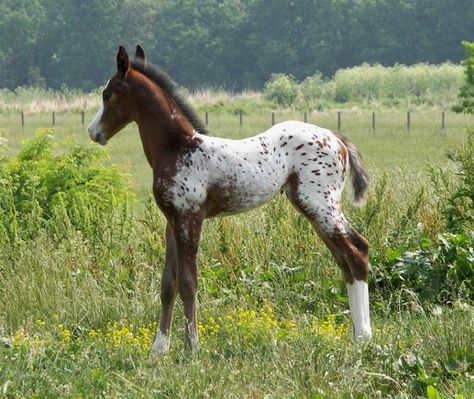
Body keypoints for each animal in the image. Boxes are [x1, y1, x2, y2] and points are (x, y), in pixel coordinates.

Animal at [87, 47, 372, 356]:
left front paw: (192, 348)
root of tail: (338, 139)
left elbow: (188, 282)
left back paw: (364, 337)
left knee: (355, 254)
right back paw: (357, 337)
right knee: (348, 256)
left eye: (107, 94)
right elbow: (167, 284)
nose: (93, 132)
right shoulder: (172, 222)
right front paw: (159, 349)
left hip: (319, 204)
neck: (178, 148)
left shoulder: (190, 218)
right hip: (316, 207)